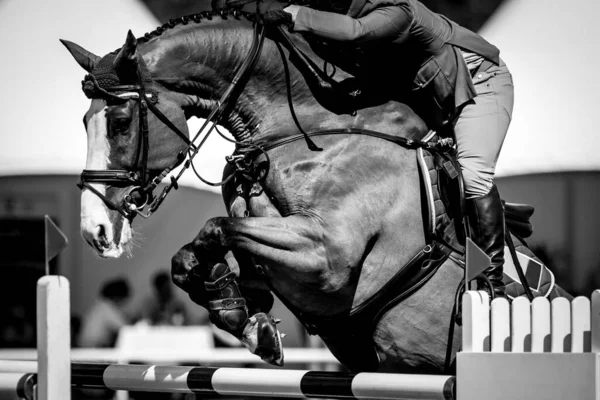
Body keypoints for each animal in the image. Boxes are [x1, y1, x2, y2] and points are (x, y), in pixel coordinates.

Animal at [62, 8, 572, 372]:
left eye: (121, 122)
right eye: (84, 121)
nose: (95, 231)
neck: (305, 128)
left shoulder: (327, 253)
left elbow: (215, 227)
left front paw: (239, 313)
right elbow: (196, 252)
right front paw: (241, 312)